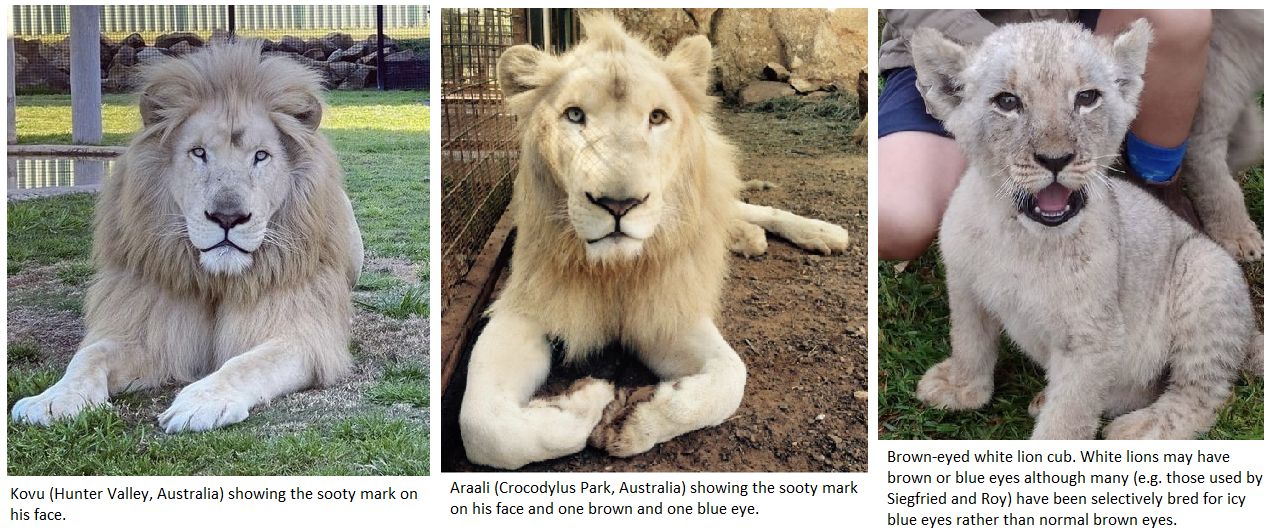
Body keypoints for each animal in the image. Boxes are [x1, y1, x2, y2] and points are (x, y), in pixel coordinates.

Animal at [12, 40, 364, 430]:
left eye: (261, 156)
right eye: (199, 152)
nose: (228, 217)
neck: (216, 281)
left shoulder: (301, 336)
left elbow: (246, 364)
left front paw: (202, 402)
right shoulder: (150, 332)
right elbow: (90, 355)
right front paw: (53, 400)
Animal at [463, 15, 850, 468]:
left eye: (657, 117)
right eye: (574, 115)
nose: (619, 204)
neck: (614, 269)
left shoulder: (667, 307)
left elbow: (731, 378)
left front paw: (630, 421)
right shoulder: (524, 305)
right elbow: (484, 427)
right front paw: (587, 402)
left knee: (743, 208)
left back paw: (820, 233)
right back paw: (749, 239)